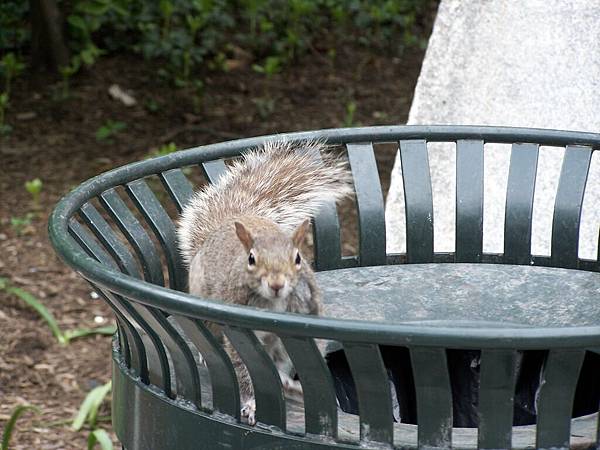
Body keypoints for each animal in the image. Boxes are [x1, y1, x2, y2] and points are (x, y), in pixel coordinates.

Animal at [177, 139, 352, 424]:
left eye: (298, 258)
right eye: (251, 259)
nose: (277, 284)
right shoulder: (243, 335)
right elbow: (248, 372)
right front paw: (252, 403)